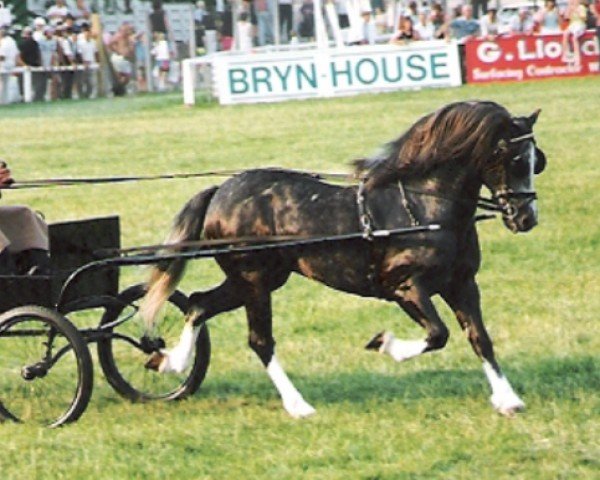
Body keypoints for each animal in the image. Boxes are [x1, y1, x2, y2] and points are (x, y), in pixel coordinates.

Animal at [141, 100, 548, 416]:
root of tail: (220, 192)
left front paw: (508, 400)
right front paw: (385, 344)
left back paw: (171, 361)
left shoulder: (462, 283)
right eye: (513, 158)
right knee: (259, 340)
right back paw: (298, 405)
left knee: (198, 304)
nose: (526, 218)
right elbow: (438, 334)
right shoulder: (405, 287)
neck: (423, 206)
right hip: (254, 281)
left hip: (257, 279)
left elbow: (479, 338)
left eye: (535, 159)